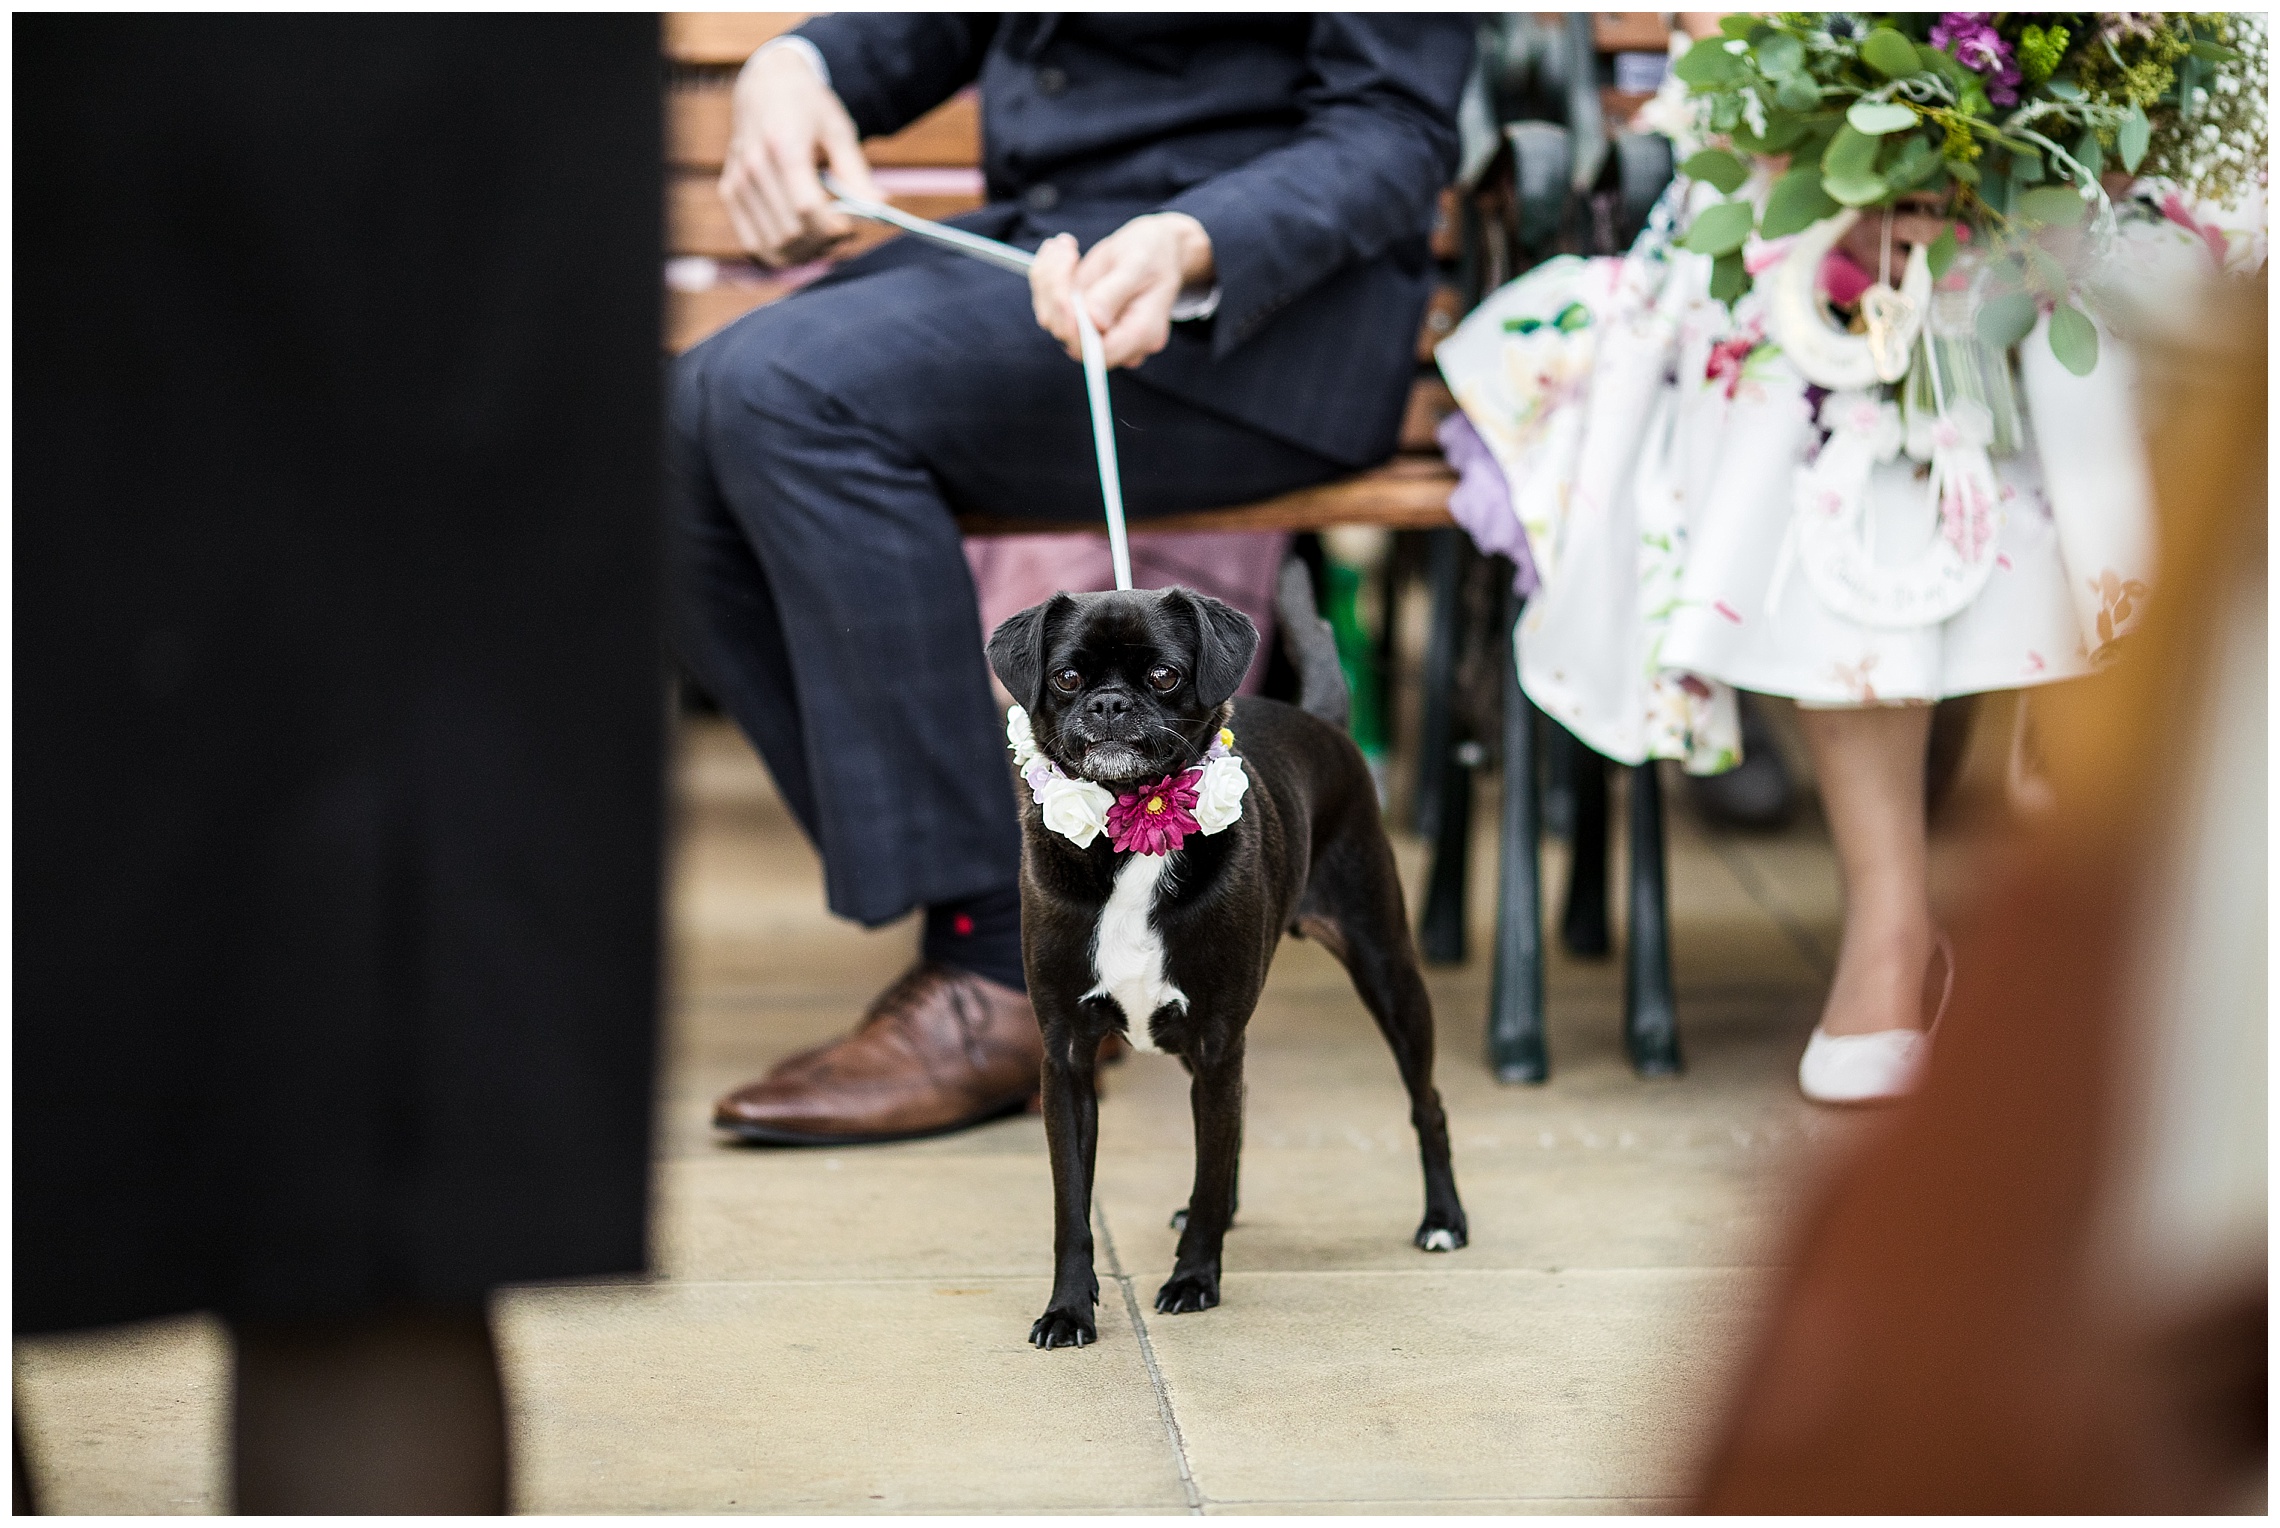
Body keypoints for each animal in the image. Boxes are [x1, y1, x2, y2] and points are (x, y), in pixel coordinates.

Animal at [989, 576, 1468, 1350]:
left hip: (1388, 973)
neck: (1129, 834)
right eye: (1065, 678)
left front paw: (1194, 1278)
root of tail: (1324, 722)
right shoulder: (1066, 1060)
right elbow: (1073, 1207)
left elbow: (1209, 1165)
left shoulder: (1215, 1040)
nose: (1110, 703)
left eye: (1163, 676)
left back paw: (1444, 1219)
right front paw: (1068, 1308)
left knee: (1426, 1105)